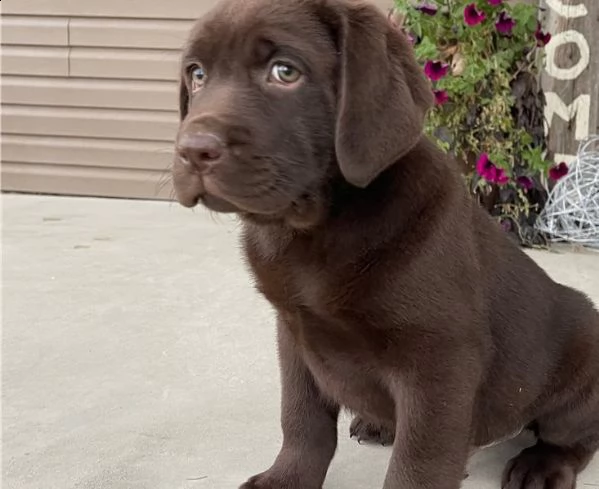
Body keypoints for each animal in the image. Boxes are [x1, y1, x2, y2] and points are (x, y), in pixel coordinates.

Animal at [170, 0, 599, 488]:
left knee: (574, 436)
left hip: (582, 361)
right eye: (197, 74)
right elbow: (301, 420)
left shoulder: (439, 361)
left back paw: (540, 466)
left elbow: (420, 461)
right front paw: (286, 478)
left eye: (285, 71)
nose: (192, 150)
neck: (312, 229)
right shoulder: (295, 334)